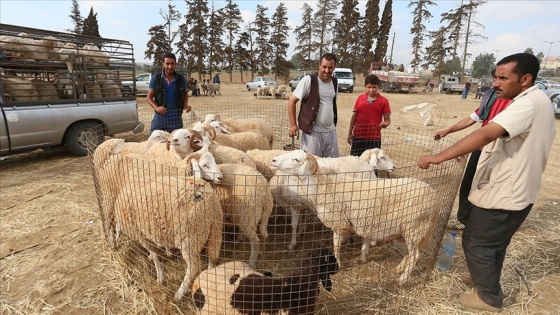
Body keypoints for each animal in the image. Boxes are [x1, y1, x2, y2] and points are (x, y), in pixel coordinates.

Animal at [272, 149, 442, 286]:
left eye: (296, 159)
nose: (273, 161)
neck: (325, 186)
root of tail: (435, 197)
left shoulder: (339, 222)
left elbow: (336, 245)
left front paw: (338, 263)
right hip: (412, 231)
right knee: (410, 252)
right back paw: (398, 268)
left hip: (415, 227)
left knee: (415, 256)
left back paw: (402, 279)